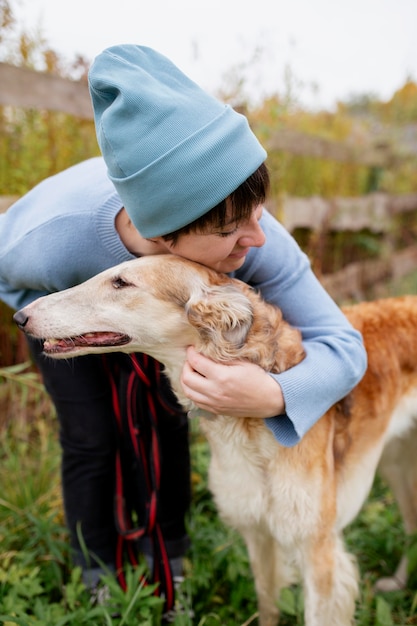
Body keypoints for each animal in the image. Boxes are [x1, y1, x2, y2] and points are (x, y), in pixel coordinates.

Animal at [12, 255, 416, 624]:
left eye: (121, 282)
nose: (20, 317)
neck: (252, 426)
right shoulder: (258, 533)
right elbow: (267, 604)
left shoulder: (319, 555)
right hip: (397, 464)